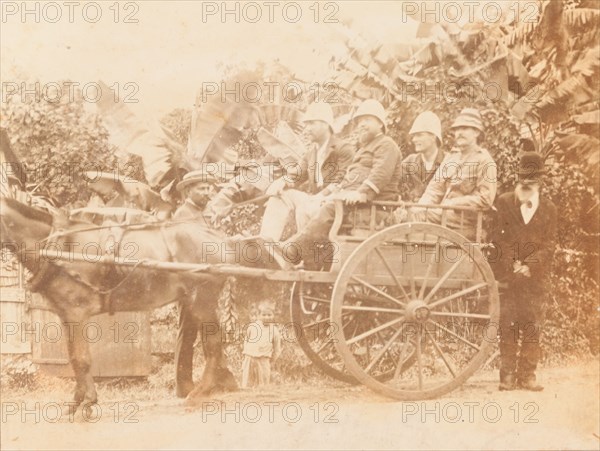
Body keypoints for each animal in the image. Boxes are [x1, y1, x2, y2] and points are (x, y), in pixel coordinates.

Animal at [0, 197, 276, 414]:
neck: (57, 247)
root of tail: (220, 238)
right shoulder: (66, 315)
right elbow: (73, 358)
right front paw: (77, 402)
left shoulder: (77, 313)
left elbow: (82, 359)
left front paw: (87, 403)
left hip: (203, 300)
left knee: (213, 345)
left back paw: (201, 392)